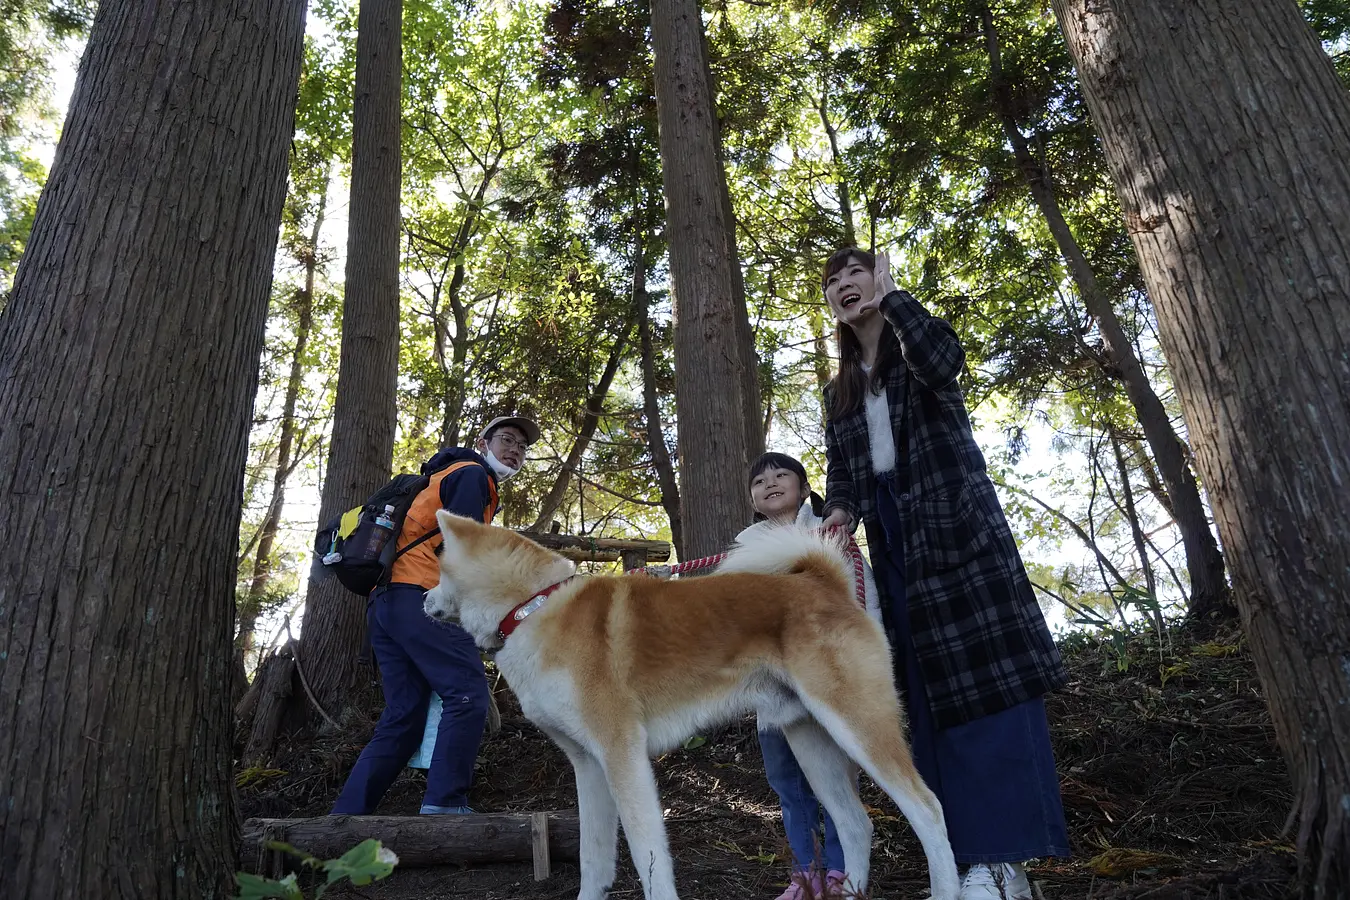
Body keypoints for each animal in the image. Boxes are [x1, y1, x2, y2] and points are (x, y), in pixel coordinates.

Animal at [423, 512, 961, 900]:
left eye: (436, 564)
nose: (423, 599)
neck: (531, 608)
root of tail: (823, 581)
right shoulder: (588, 765)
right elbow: (594, 859)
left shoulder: (622, 755)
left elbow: (648, 857)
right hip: (811, 740)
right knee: (855, 824)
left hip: (859, 726)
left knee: (929, 809)